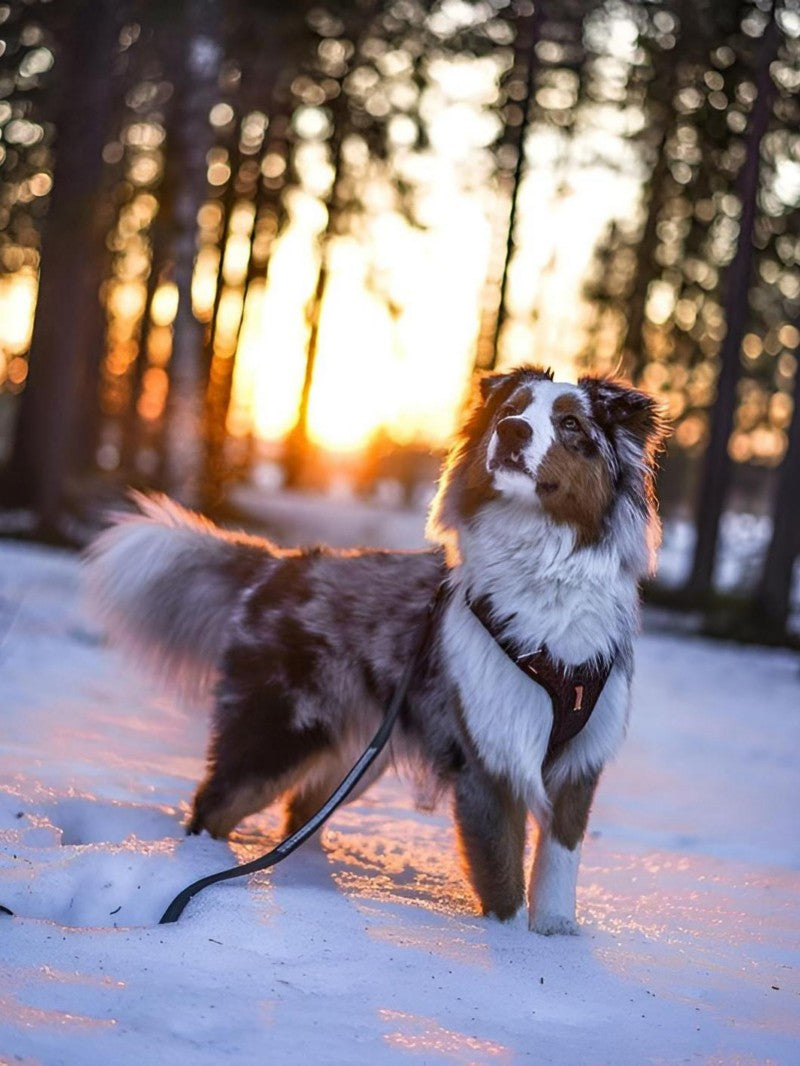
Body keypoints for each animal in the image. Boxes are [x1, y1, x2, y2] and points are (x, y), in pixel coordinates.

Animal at [86, 366, 669, 933]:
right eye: (511, 410)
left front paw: (554, 943)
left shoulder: (579, 766)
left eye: (571, 424)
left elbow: (558, 869)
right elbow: (503, 881)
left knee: (300, 815)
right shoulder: (489, 758)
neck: (545, 569)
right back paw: (199, 869)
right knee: (215, 804)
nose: (511, 431)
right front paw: (506, 950)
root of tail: (280, 564)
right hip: (279, 734)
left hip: (356, 753)